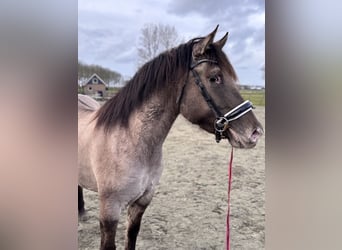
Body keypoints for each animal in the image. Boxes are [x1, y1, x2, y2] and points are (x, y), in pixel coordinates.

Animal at [79, 26, 264, 249]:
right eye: (215, 78)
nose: (255, 132)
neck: (130, 141)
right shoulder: (109, 212)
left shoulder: (141, 204)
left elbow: (131, 237)